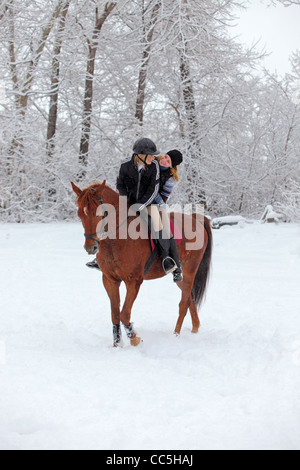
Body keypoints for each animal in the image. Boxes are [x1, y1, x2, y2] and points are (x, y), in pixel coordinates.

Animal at [72, 182, 213, 346]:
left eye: (100, 214)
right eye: (80, 214)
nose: (91, 247)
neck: (117, 240)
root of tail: (196, 219)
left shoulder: (133, 281)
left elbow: (124, 313)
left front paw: (135, 339)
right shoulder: (109, 280)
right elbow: (115, 314)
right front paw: (117, 345)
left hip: (190, 270)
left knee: (183, 304)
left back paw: (175, 335)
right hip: (180, 276)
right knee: (189, 298)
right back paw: (195, 328)